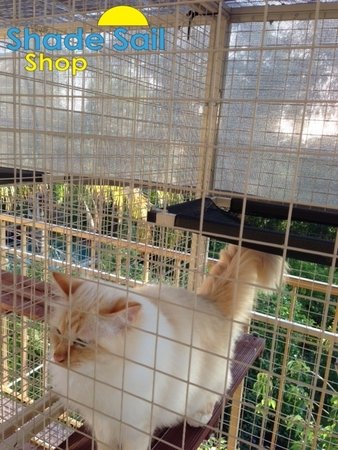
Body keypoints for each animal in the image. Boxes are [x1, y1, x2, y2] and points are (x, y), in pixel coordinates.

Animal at [48, 246, 284, 450]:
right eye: (58, 332)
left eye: (80, 343)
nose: (57, 358)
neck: (97, 375)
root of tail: (207, 302)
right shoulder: (103, 423)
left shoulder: (136, 426)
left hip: (205, 383)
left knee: (216, 392)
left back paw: (197, 418)